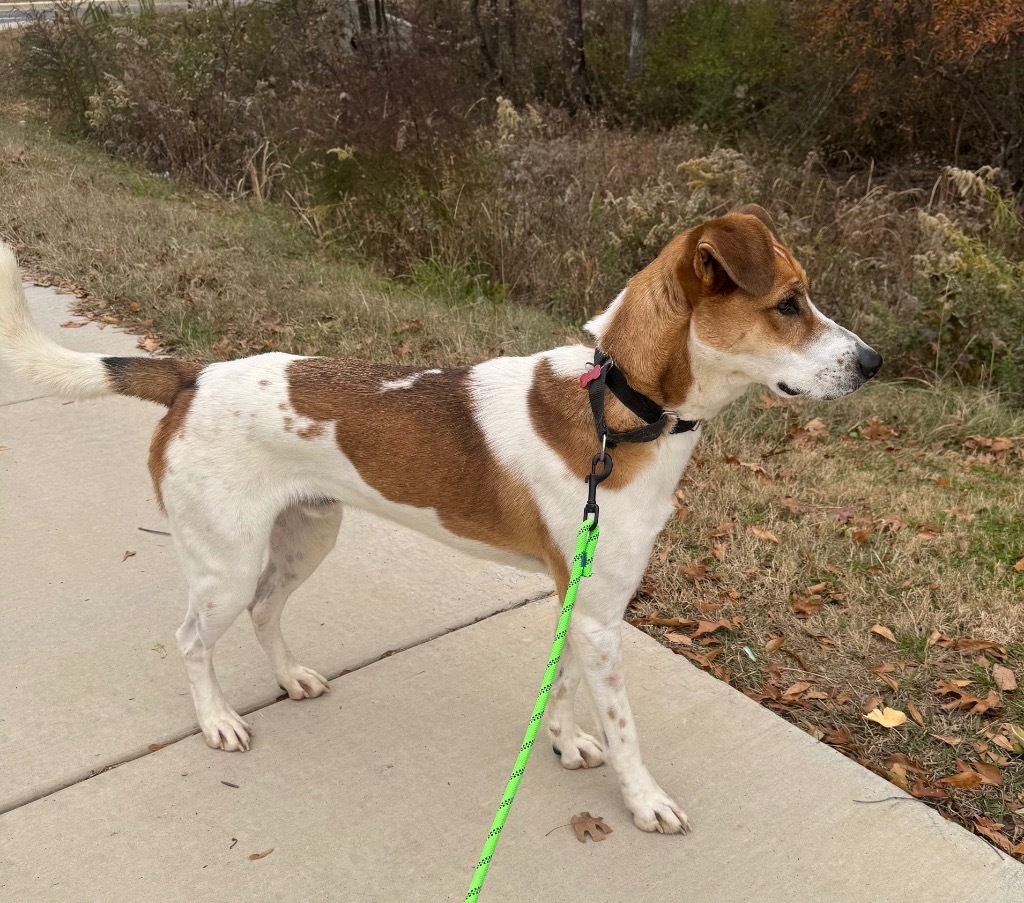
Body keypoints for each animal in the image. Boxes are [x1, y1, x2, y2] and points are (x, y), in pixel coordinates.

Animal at [0, 203, 880, 831]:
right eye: (789, 304)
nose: (874, 362)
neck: (619, 405)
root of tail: (191, 375)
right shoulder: (600, 612)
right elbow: (625, 724)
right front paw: (643, 798)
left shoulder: (576, 598)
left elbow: (563, 685)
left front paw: (564, 740)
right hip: (227, 560)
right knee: (192, 636)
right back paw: (217, 718)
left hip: (307, 533)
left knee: (267, 610)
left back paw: (289, 676)